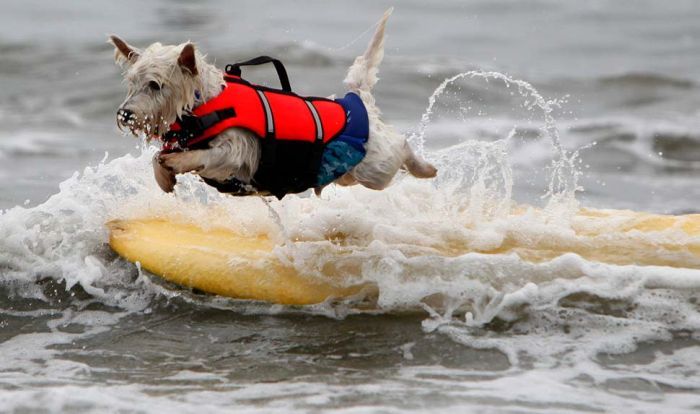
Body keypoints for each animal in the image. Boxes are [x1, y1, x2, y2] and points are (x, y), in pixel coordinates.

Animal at [109, 9, 434, 197]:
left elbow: (207, 155)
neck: (201, 107)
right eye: (132, 83)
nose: (125, 114)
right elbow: (158, 157)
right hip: (348, 173)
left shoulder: (239, 152)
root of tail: (357, 99)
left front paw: (177, 162)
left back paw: (425, 168)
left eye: (155, 85)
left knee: (399, 148)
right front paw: (164, 176)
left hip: (375, 165)